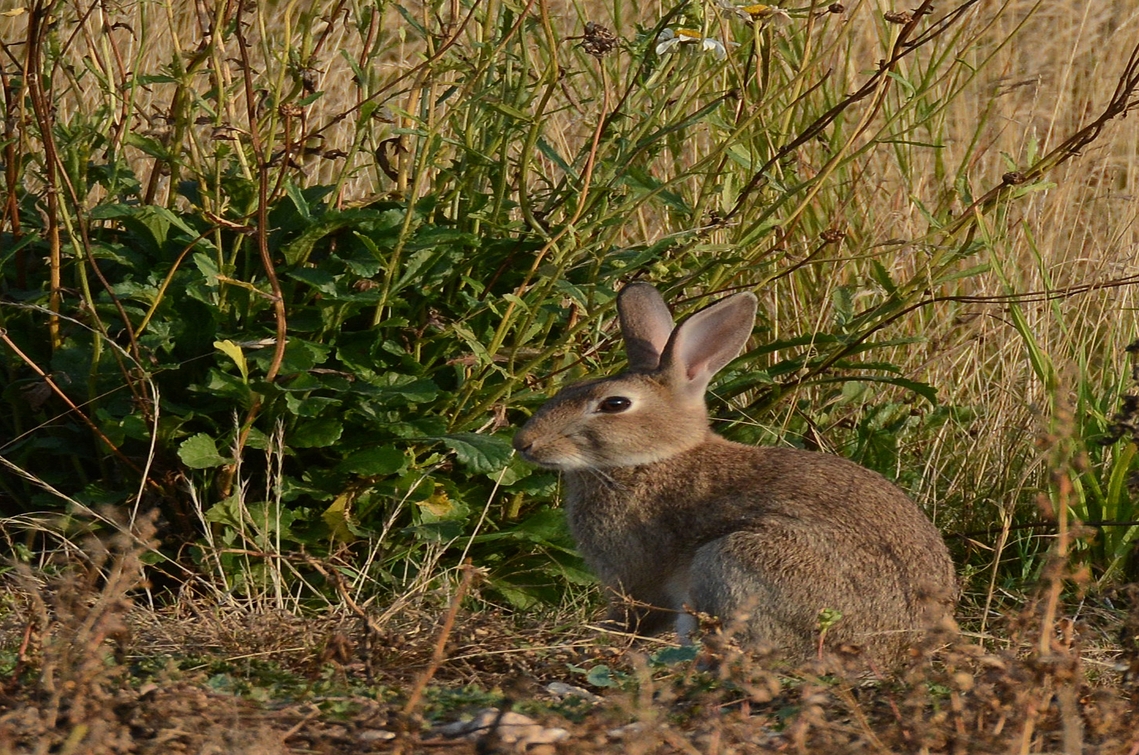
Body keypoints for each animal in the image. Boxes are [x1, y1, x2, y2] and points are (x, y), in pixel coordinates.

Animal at [512, 282, 957, 667]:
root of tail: (897, 649)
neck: (654, 458)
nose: (523, 442)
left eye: (614, 404)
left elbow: (634, 616)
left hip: (732, 560)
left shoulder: (635, 577)